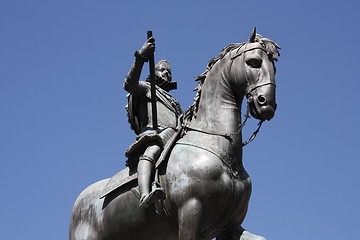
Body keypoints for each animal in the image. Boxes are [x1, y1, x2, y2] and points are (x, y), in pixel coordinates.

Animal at [69, 29, 280, 240]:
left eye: (274, 69)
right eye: (253, 62)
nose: (266, 103)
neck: (222, 154)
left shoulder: (230, 226)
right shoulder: (190, 211)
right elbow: (131, 85)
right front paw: (145, 50)